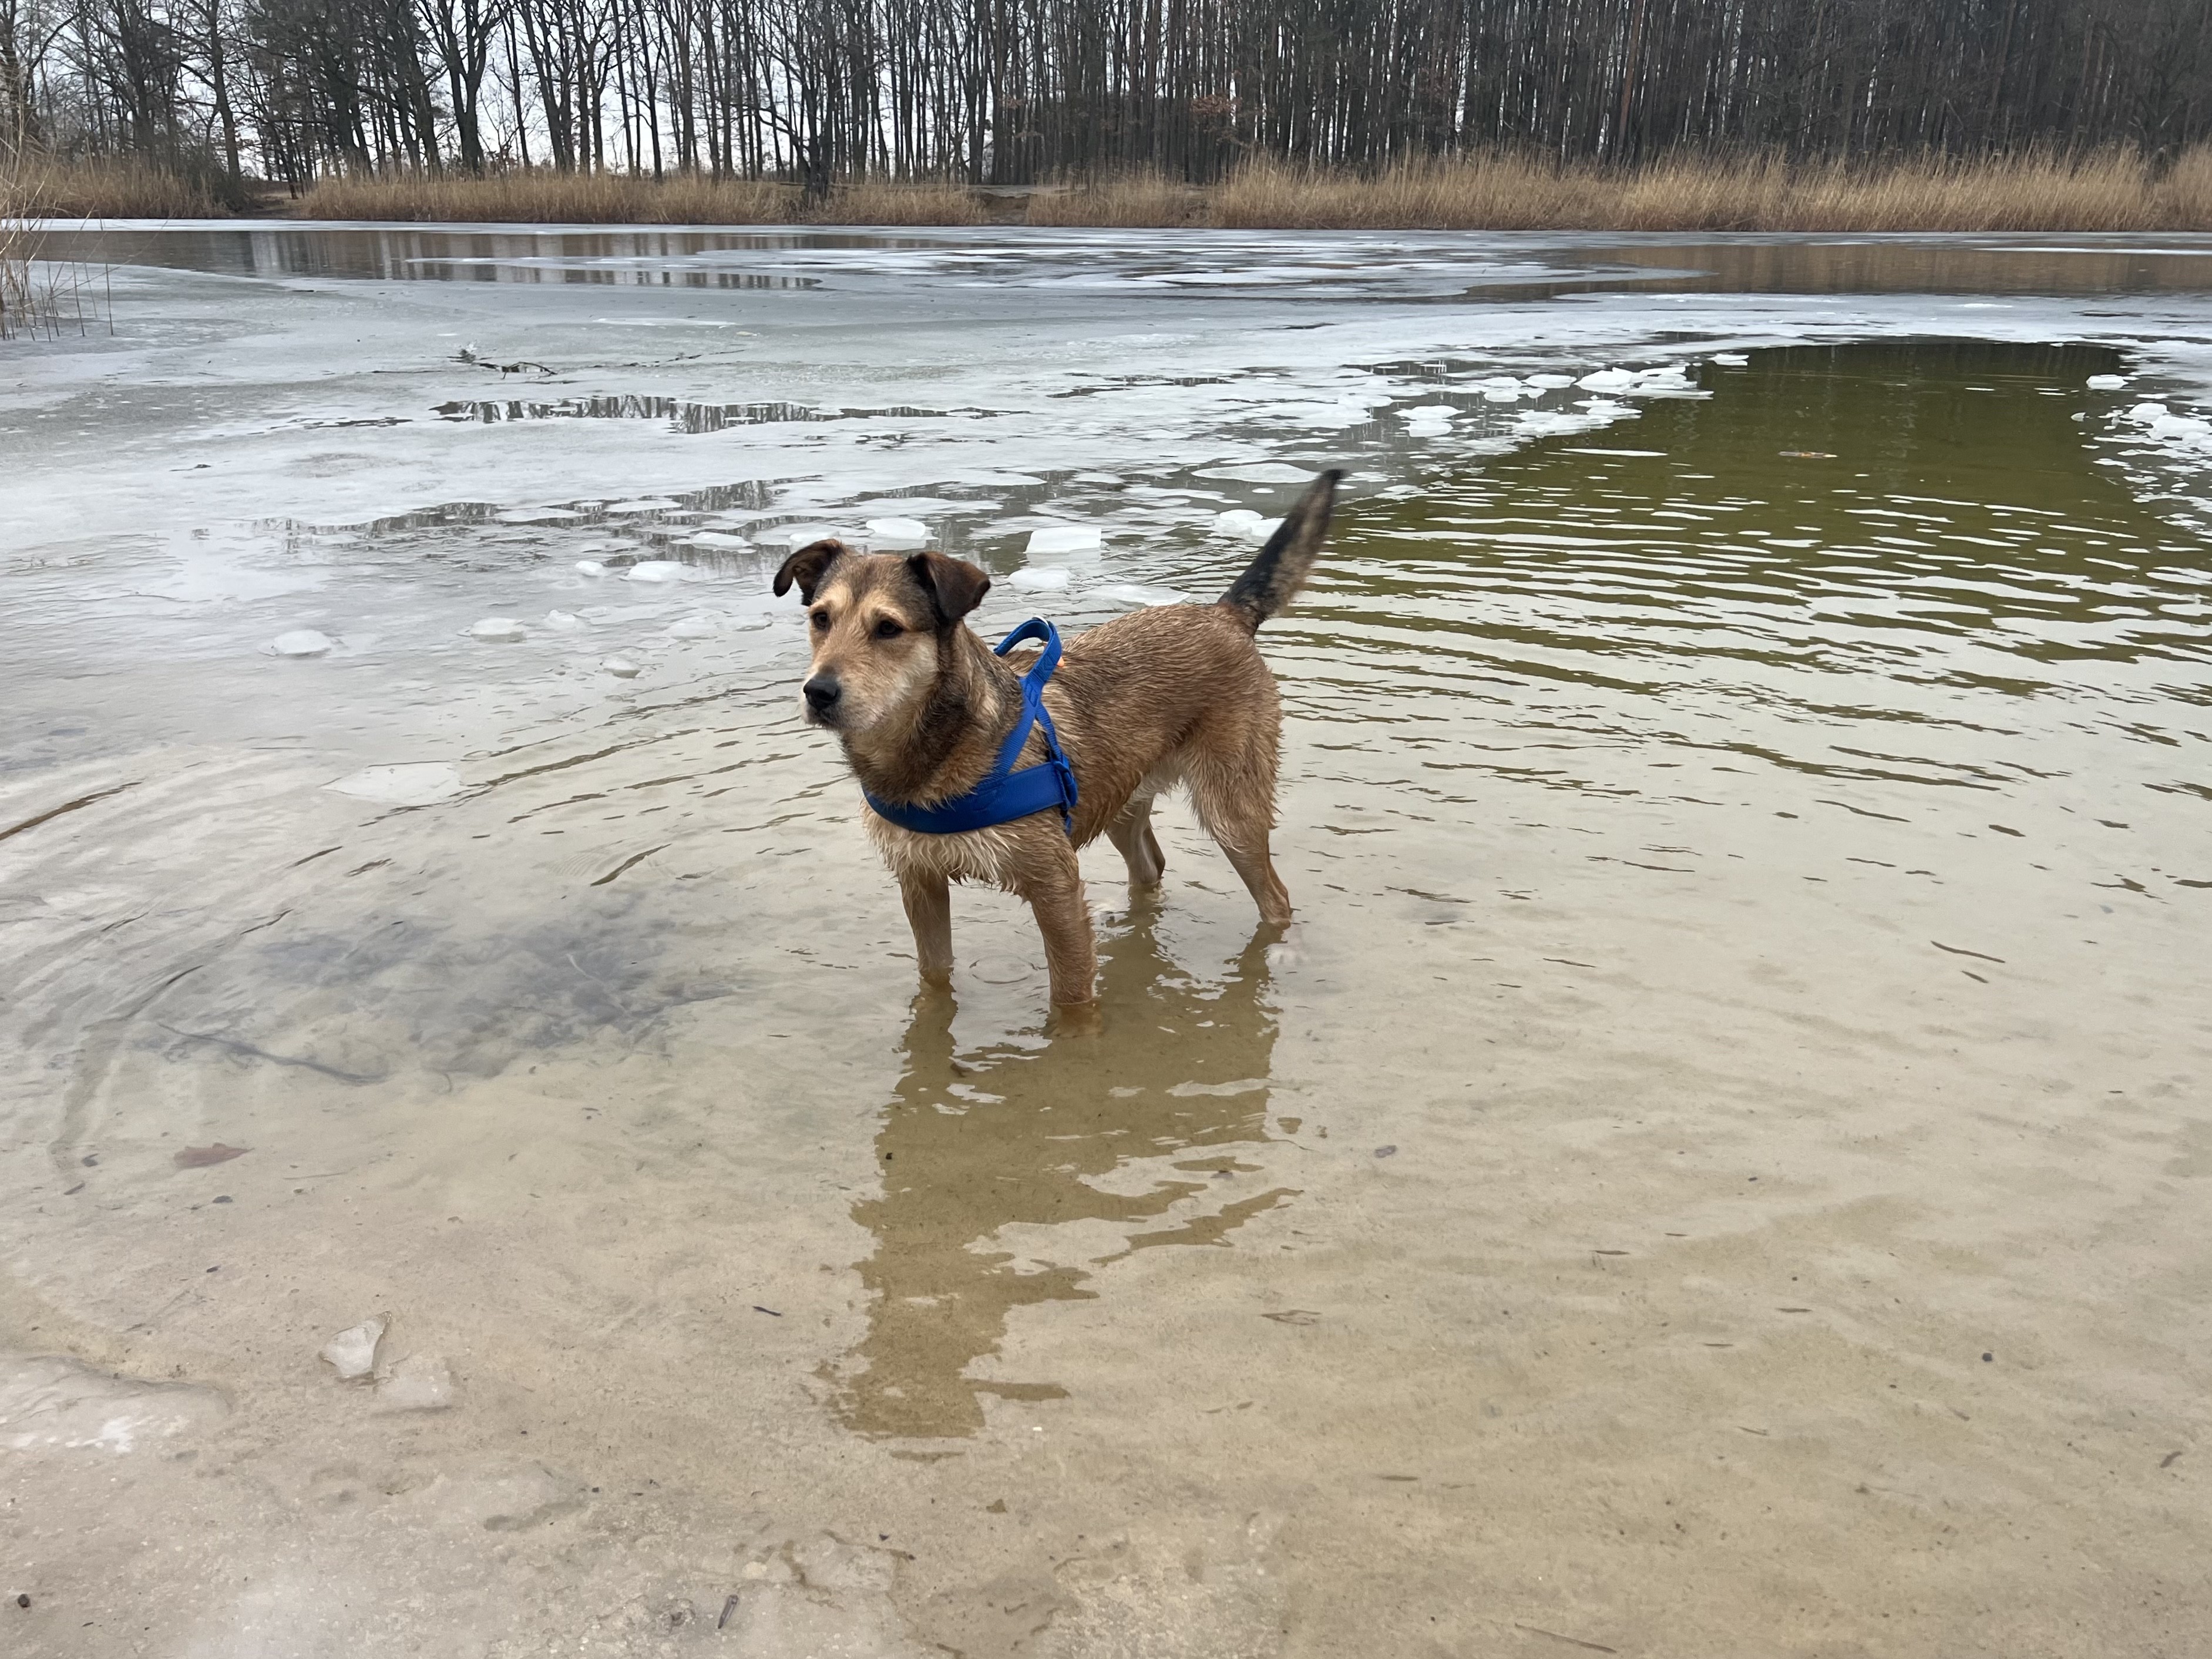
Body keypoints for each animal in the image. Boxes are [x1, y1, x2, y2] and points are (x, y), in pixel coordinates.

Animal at [774, 469, 1340, 1008]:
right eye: (820, 618)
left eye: (888, 628)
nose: (818, 692)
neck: (933, 754)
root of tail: (1224, 615)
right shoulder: (920, 884)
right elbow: (935, 978)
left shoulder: (1054, 886)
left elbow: (1070, 1002)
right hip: (1119, 798)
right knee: (1151, 865)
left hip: (1232, 812)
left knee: (1275, 896)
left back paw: (1283, 953)